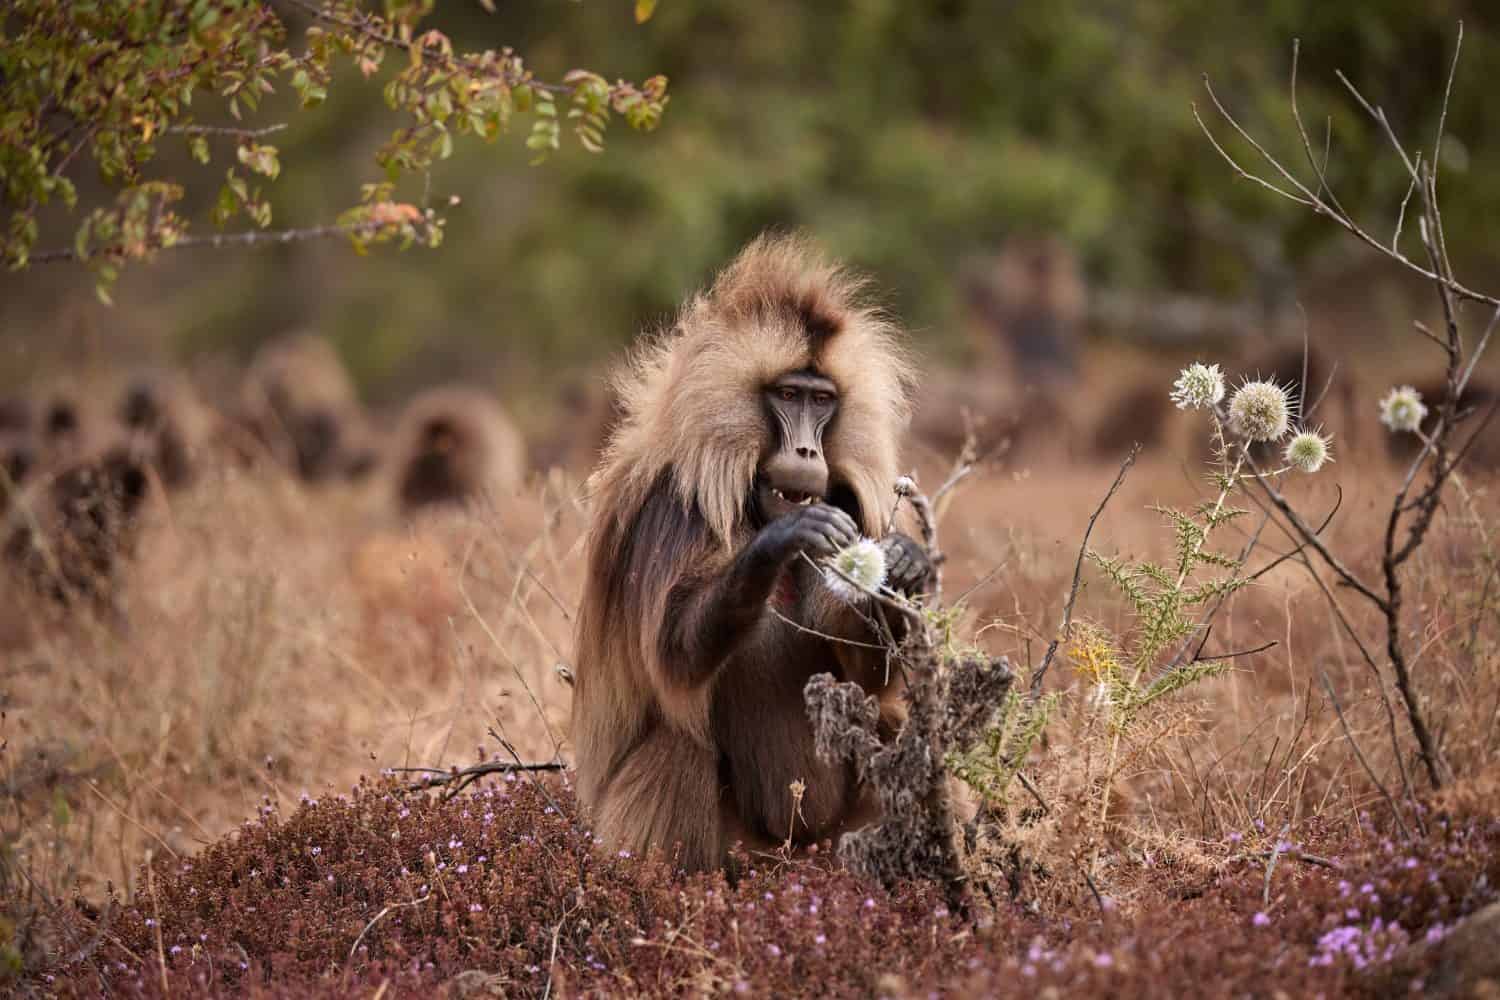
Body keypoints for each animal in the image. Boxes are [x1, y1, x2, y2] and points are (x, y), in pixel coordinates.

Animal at [572, 233, 931, 873]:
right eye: (788, 396)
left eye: (823, 401)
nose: (808, 451)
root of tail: (794, 859)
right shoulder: (669, 511)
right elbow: (674, 652)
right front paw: (781, 540)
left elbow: (870, 677)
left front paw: (904, 565)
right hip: (740, 853)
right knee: (676, 748)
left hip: (836, 844)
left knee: (897, 728)